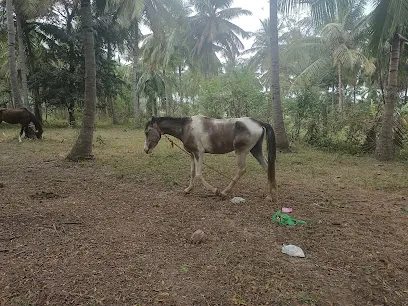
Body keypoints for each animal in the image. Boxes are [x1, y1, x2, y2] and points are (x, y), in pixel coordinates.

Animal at [143, 116, 278, 202]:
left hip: (241, 151)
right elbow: (192, 173)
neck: (186, 127)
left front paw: (215, 190)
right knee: (268, 167)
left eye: (147, 132)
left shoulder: (199, 153)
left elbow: (198, 174)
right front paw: (188, 189)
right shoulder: (192, 154)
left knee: (241, 170)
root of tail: (259, 123)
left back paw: (224, 192)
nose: (145, 150)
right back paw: (270, 194)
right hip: (256, 150)